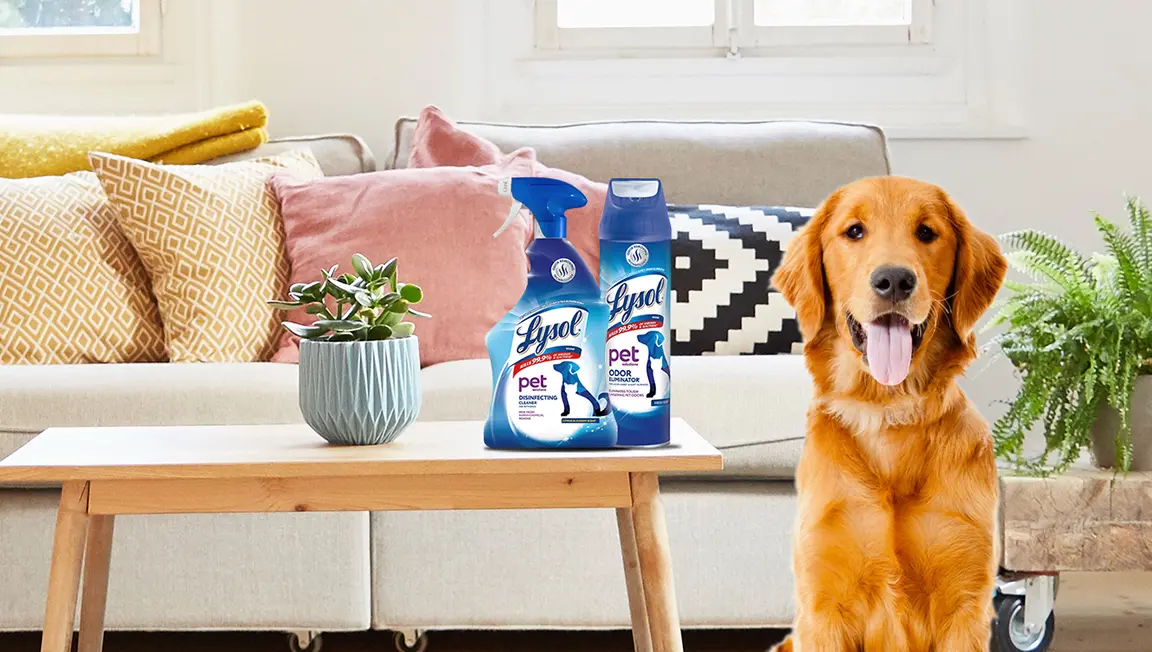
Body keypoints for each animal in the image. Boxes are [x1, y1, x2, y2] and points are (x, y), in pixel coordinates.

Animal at [774, 176, 1009, 649]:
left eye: (926, 232)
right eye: (854, 231)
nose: (895, 280)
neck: (888, 411)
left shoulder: (965, 605)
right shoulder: (823, 607)